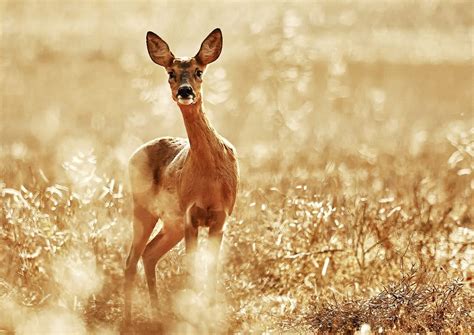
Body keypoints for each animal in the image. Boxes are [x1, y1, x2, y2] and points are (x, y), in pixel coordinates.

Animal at [124, 28, 239, 326]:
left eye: (199, 71)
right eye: (170, 73)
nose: (184, 91)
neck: (209, 179)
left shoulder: (221, 216)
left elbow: (211, 271)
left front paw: (210, 314)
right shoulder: (190, 215)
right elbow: (192, 268)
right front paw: (195, 316)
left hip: (170, 223)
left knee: (149, 254)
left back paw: (156, 314)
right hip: (142, 208)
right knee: (132, 258)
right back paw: (128, 318)